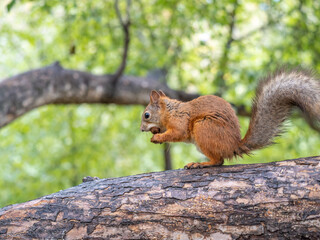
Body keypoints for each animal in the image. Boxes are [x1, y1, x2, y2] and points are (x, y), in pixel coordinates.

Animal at [140, 69, 320, 169]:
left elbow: (177, 133)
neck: (170, 111)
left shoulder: (180, 121)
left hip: (203, 128)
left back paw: (200, 164)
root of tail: (233, 145)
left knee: (218, 160)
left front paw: (158, 137)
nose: (141, 129)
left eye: (146, 115)